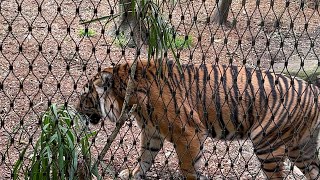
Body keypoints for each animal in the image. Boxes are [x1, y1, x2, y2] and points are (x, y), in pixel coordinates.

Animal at [77, 59, 320, 180]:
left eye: (86, 93)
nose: (76, 107)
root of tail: (314, 90)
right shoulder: (152, 132)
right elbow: (145, 157)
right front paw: (133, 174)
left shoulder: (187, 132)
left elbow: (188, 167)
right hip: (302, 148)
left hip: (267, 144)